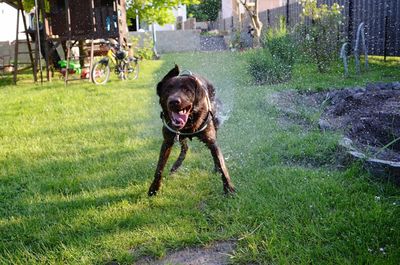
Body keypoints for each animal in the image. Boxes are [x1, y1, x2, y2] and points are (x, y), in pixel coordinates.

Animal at [148, 65, 236, 195]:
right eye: (168, 89)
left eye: (186, 90)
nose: (174, 101)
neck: (189, 124)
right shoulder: (167, 141)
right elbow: (159, 167)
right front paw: (154, 188)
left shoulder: (211, 140)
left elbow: (221, 163)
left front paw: (229, 188)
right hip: (179, 137)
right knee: (185, 148)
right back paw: (176, 165)